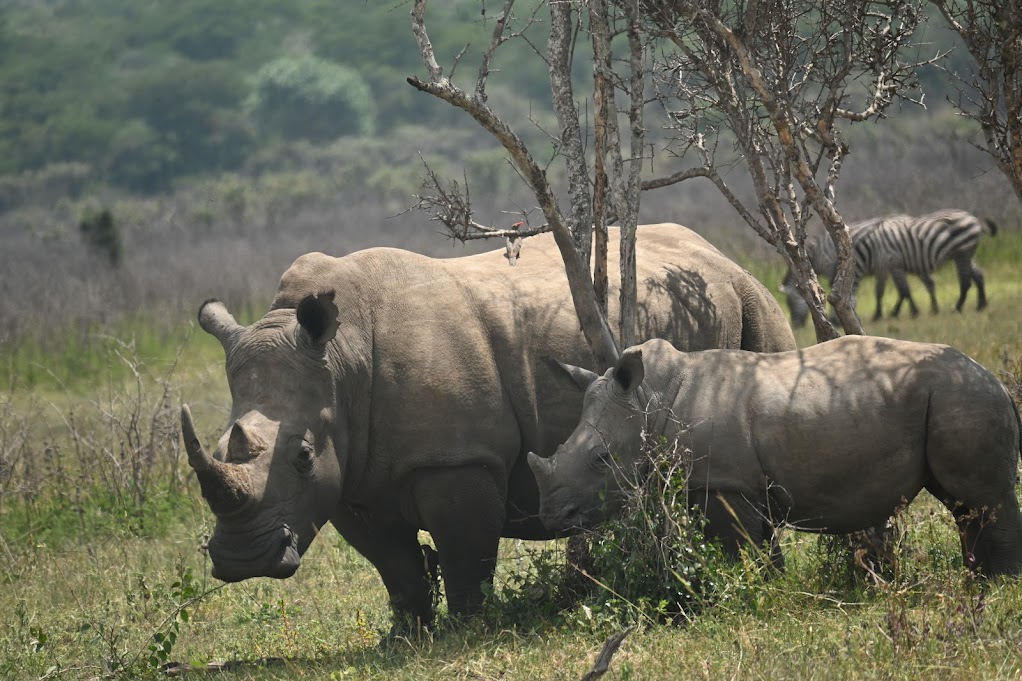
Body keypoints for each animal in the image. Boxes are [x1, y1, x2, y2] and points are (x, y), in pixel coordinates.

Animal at [181, 223, 796, 629]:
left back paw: (752, 583)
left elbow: (464, 553)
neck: (341, 361)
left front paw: (469, 630)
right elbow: (395, 566)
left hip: (734, 303)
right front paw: (407, 637)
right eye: (217, 445)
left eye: (303, 455)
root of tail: (723, 259)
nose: (243, 561)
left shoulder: (458, 458)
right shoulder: (350, 475)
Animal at [529, 335, 1022, 576]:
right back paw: (976, 579)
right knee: (963, 503)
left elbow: (742, 549)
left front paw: (752, 593)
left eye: (601, 460)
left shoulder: (723, 483)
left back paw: (999, 585)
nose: (551, 516)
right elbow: (762, 545)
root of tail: (993, 377)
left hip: (964, 398)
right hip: (954, 398)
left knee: (981, 499)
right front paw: (775, 588)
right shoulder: (733, 484)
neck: (653, 397)